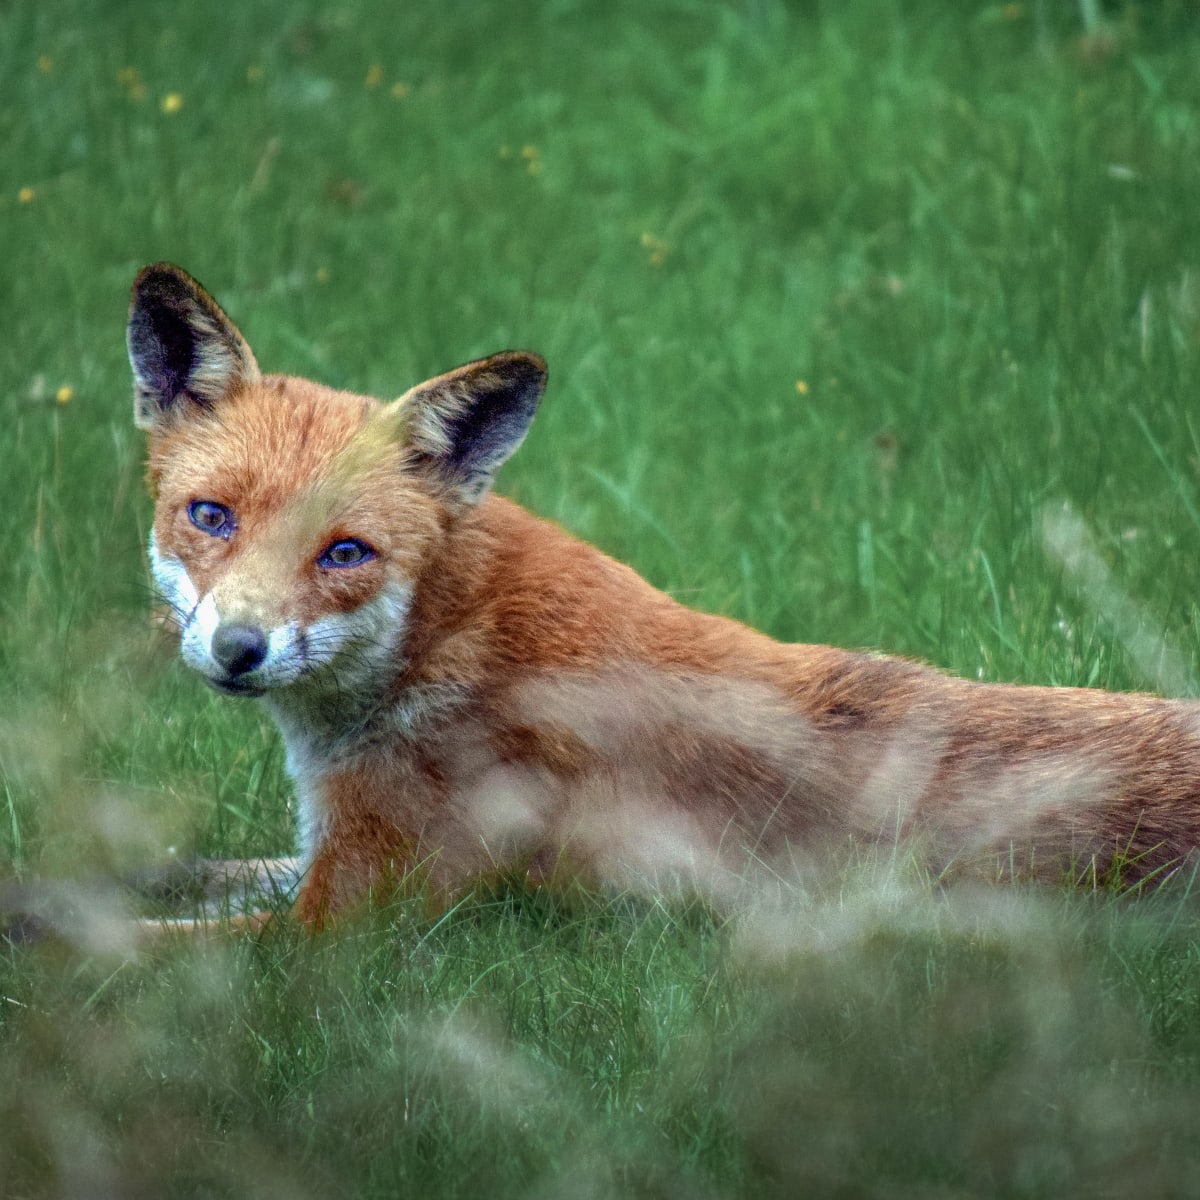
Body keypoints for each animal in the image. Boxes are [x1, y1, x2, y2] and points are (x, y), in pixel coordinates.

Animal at [127, 262, 1200, 928]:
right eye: (211, 516)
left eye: (345, 552)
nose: (237, 650)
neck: (448, 640)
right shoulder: (311, 858)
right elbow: (159, 872)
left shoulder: (348, 922)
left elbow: (148, 957)